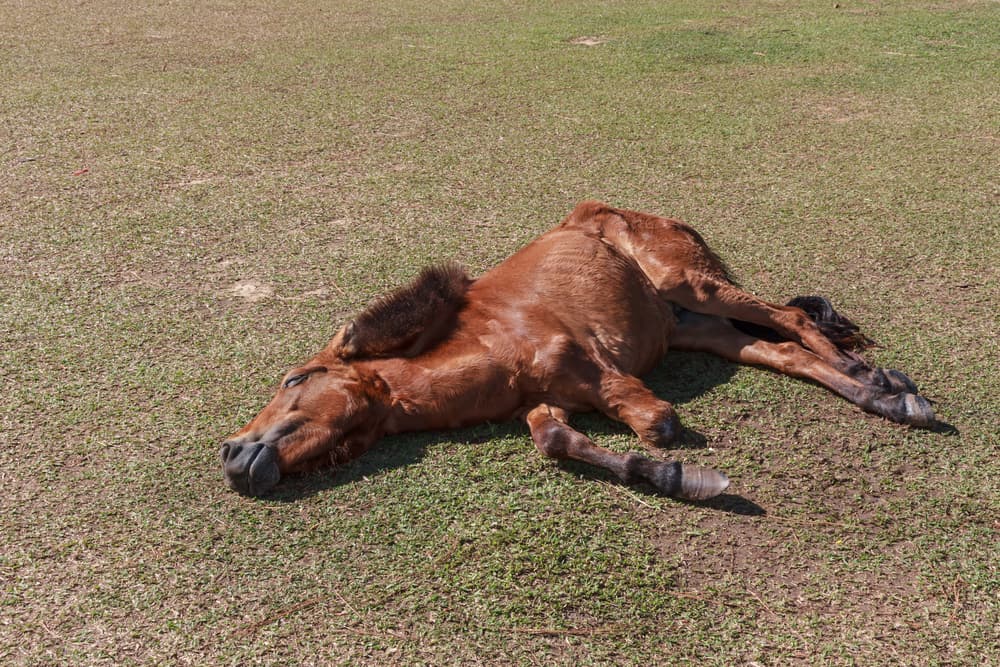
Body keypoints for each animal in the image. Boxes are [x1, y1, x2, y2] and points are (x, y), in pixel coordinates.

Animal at [221, 201, 936, 500]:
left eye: (295, 379)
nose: (231, 454)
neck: (492, 347)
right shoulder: (544, 405)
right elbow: (555, 440)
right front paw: (678, 480)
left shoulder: (604, 378)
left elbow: (654, 423)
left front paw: (677, 468)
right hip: (696, 327)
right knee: (784, 351)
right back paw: (885, 396)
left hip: (691, 284)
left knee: (792, 319)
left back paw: (877, 380)